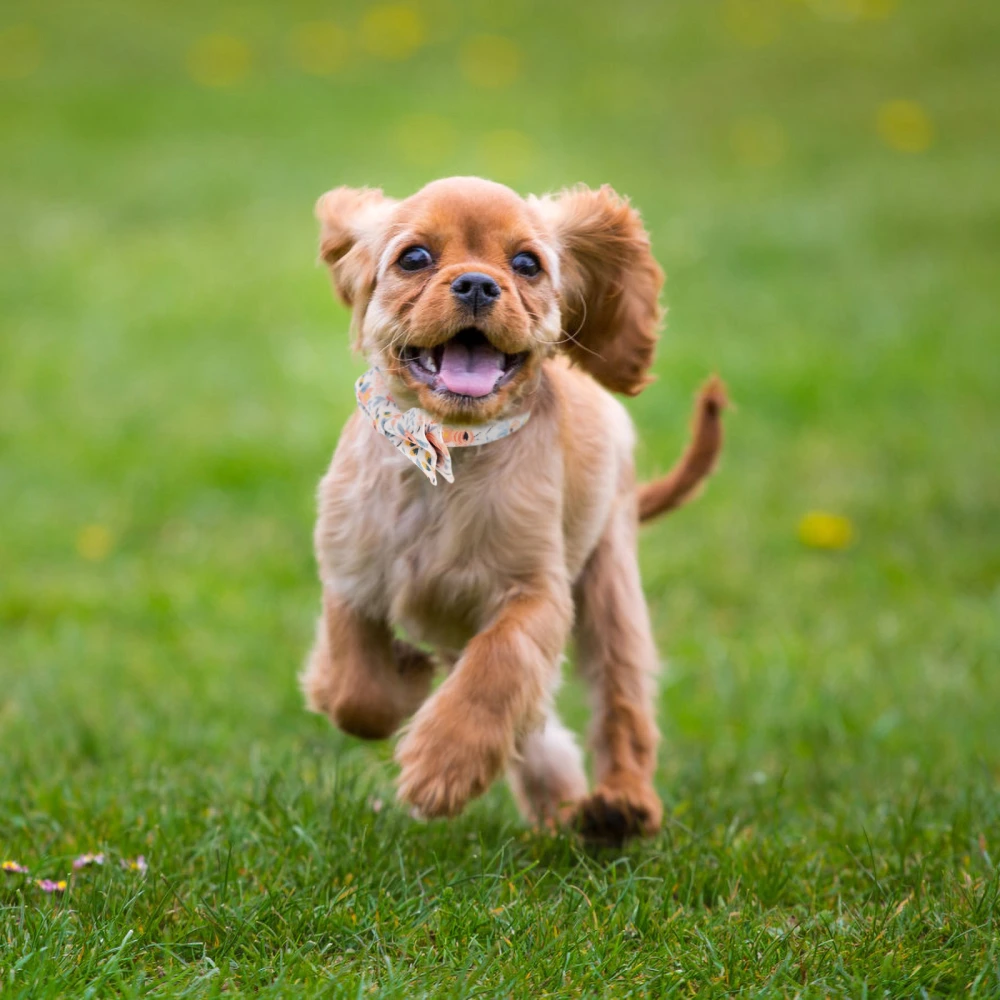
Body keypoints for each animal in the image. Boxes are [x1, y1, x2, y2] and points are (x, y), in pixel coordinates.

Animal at [300, 178, 724, 844]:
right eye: (414, 258)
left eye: (526, 264)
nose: (477, 283)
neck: (448, 451)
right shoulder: (350, 573)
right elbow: (353, 689)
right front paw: (403, 676)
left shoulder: (536, 593)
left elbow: (498, 669)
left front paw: (441, 766)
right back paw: (562, 805)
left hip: (611, 581)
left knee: (620, 705)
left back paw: (619, 806)